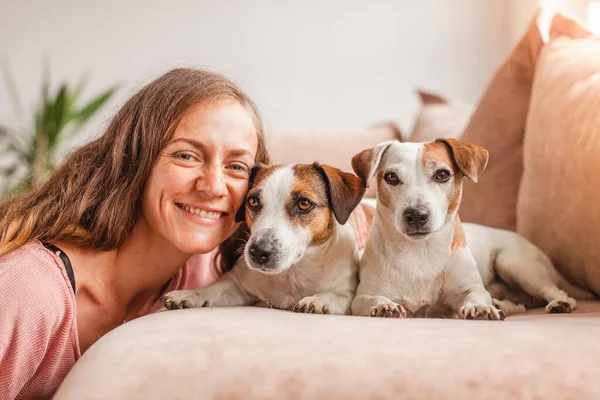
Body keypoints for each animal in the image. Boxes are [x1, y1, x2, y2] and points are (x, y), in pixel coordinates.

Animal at [161, 162, 366, 316]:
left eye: (304, 203)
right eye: (252, 201)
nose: (258, 251)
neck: (292, 274)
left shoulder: (347, 294)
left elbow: (336, 295)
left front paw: (318, 299)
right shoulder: (238, 286)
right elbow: (214, 288)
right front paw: (189, 294)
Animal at [350, 139, 592, 320]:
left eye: (442, 174)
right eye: (391, 176)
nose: (416, 215)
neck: (420, 251)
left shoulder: (471, 288)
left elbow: (475, 295)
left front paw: (481, 308)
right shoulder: (362, 297)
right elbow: (372, 299)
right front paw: (384, 306)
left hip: (516, 264)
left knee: (555, 291)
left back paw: (559, 303)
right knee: (521, 305)